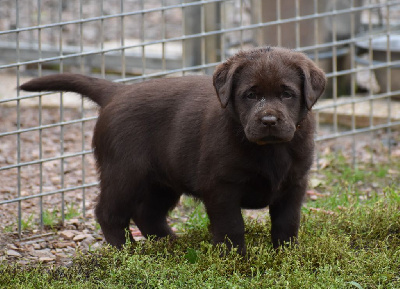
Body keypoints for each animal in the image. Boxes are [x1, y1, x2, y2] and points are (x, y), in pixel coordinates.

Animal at [21, 46, 324, 252]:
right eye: (250, 95)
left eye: (287, 94)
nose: (269, 120)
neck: (269, 150)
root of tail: (117, 92)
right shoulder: (221, 187)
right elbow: (232, 227)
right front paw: (235, 261)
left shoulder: (295, 184)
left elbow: (287, 223)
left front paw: (285, 256)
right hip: (125, 172)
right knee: (109, 213)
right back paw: (127, 253)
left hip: (162, 179)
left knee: (147, 214)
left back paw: (172, 245)